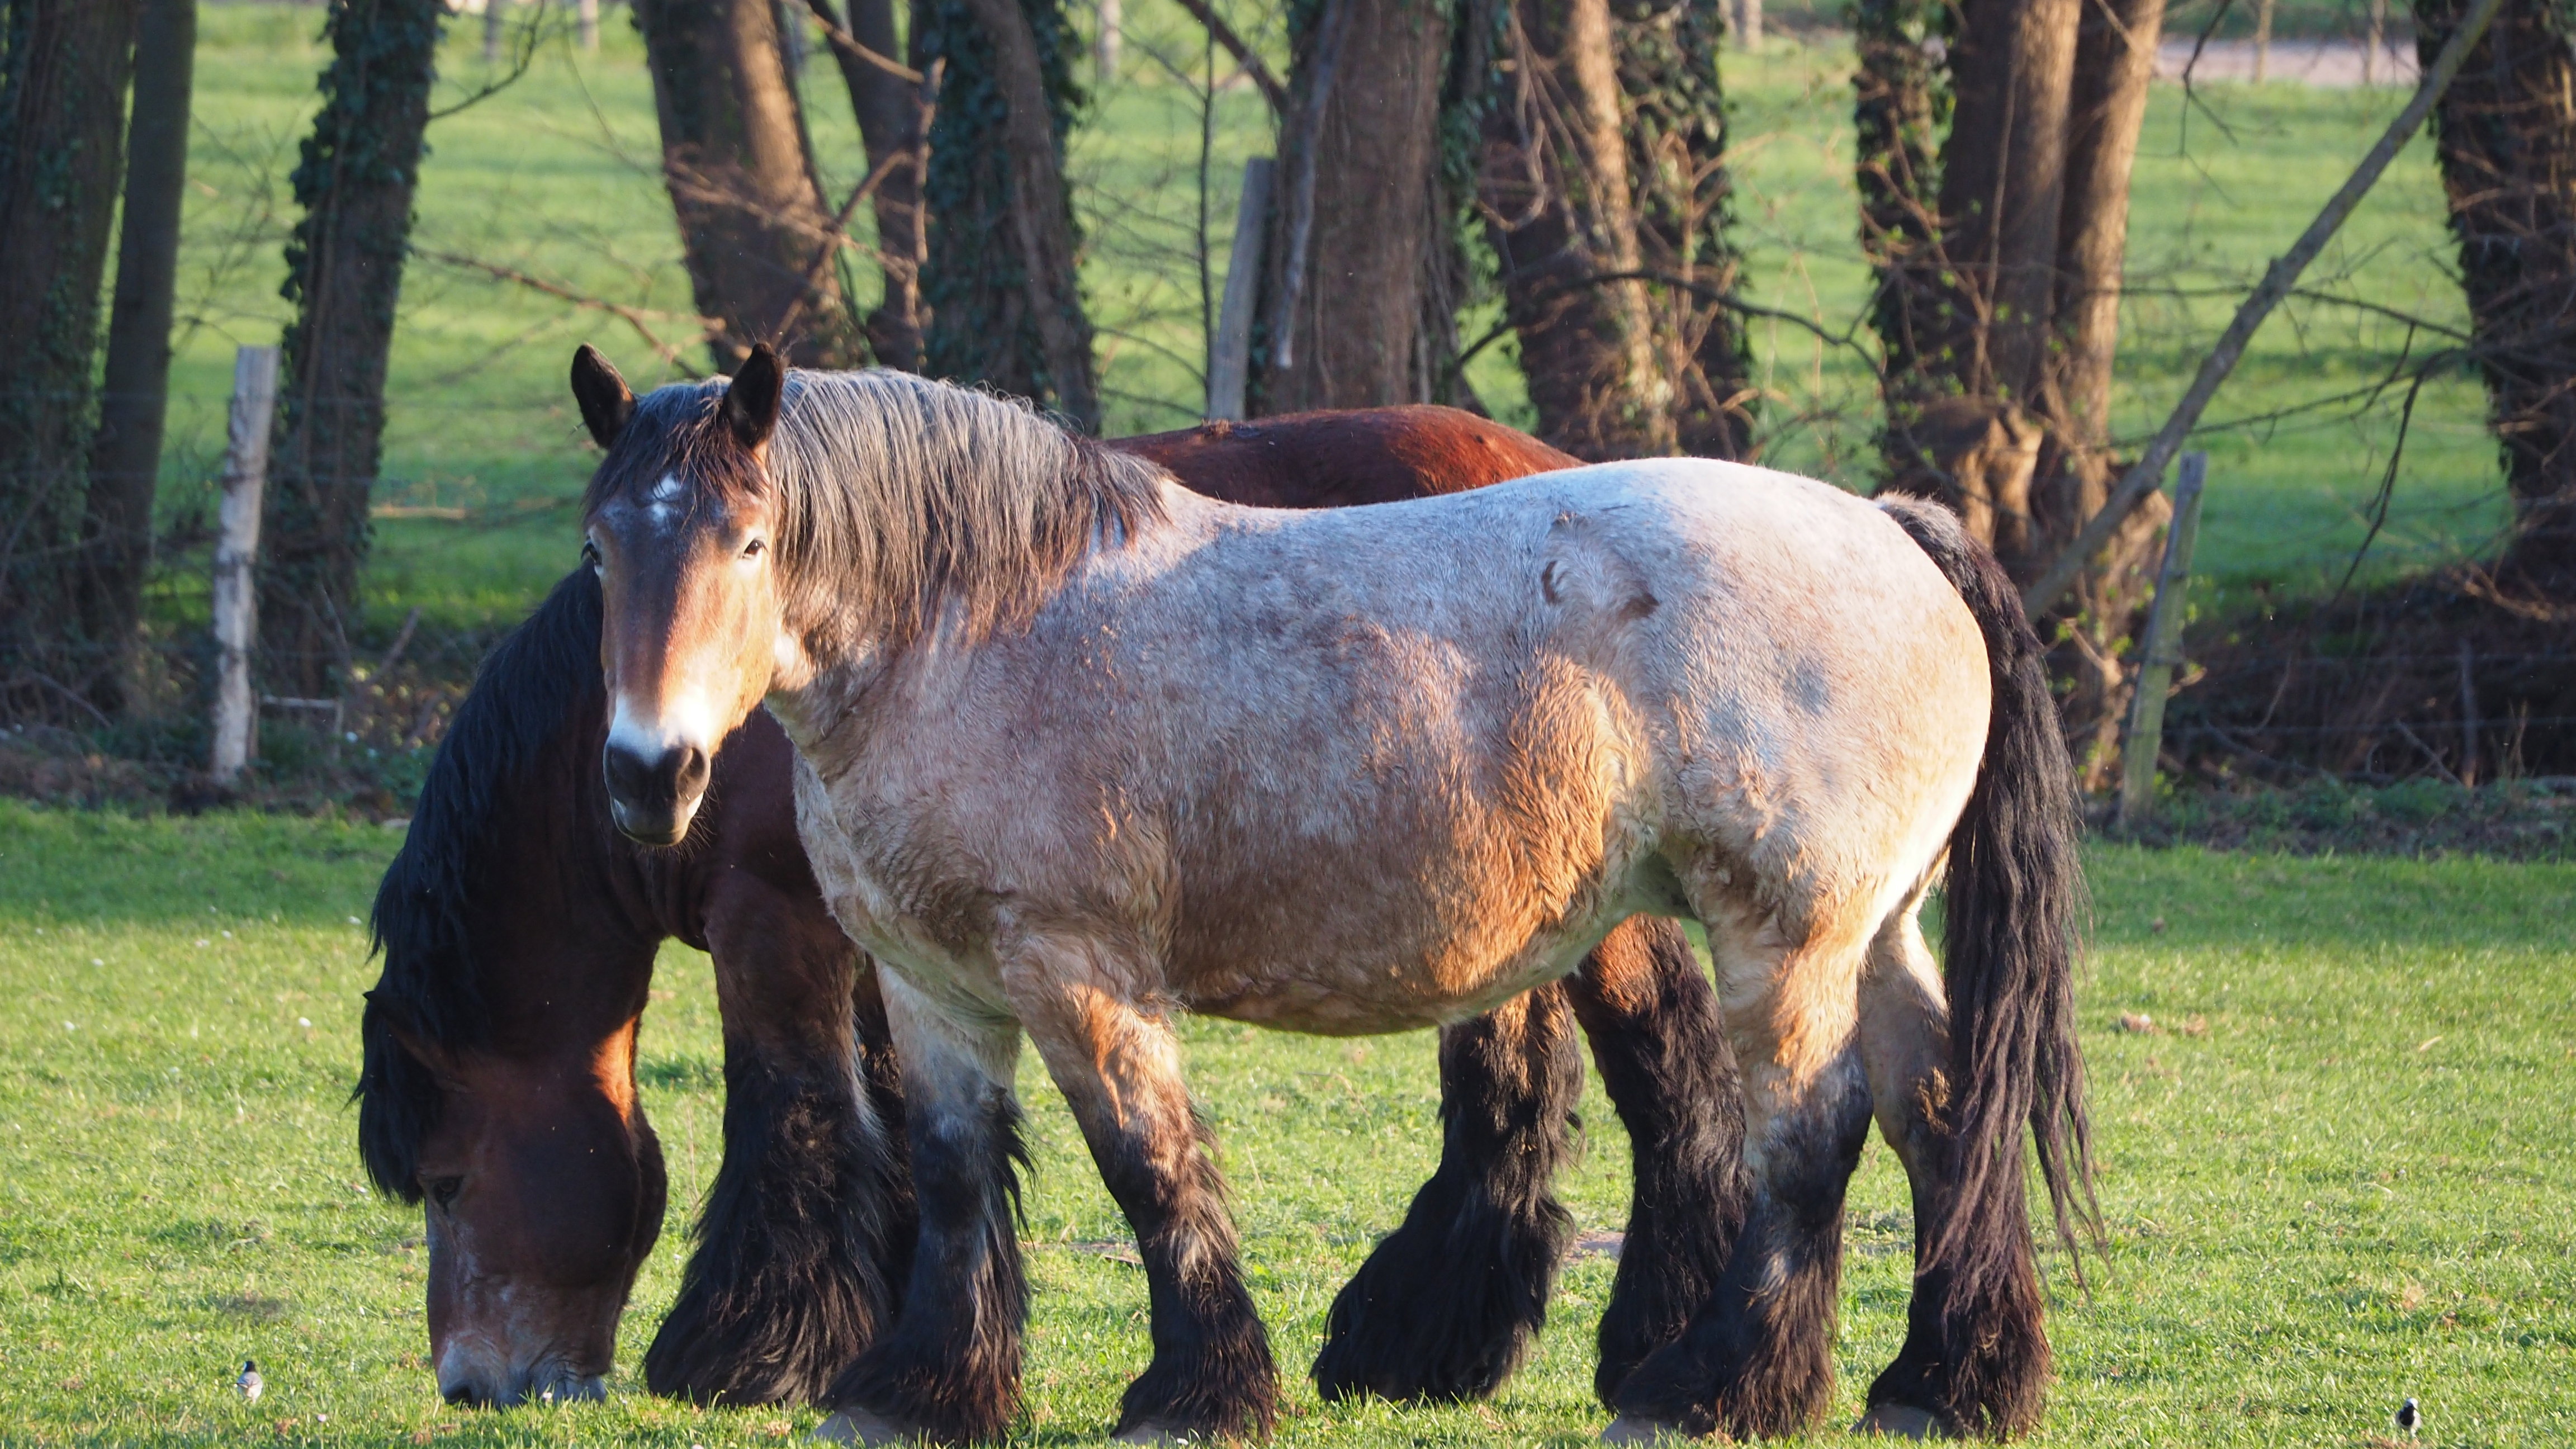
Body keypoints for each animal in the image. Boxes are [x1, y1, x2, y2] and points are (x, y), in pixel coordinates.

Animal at [357, 400, 1745, 1410]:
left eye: (444, 1181)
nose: (477, 1386)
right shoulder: (898, 937)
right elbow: (915, 1134)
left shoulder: (777, 929)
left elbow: (795, 1117)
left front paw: (749, 1352)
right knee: (1514, 1083)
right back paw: (1426, 1342)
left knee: (1666, 1063)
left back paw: (1657, 1339)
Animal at [573, 344, 2093, 1445]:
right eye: (601, 551)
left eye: (750, 542)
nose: (652, 772)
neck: (977, 627)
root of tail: (1892, 528)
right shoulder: (928, 982)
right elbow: (953, 1173)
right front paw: (922, 1392)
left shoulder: (1079, 973)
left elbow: (1148, 1165)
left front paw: (1195, 1395)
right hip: (1876, 932)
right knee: (1941, 1112)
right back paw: (1946, 1383)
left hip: (1785, 941)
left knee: (1812, 1139)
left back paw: (1714, 1389)